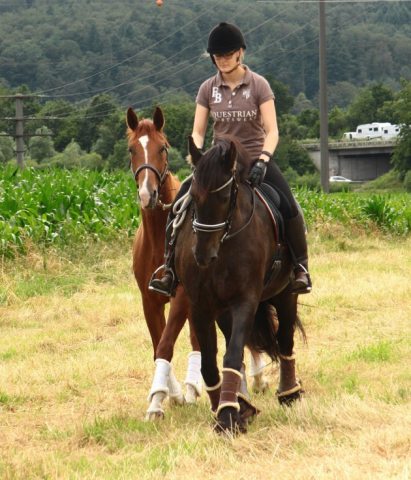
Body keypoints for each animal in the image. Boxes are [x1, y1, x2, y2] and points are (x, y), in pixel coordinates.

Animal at [174, 136, 306, 436]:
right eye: (193, 197)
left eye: (224, 198)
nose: (202, 255)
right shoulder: (201, 307)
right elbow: (211, 365)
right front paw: (226, 409)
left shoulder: (246, 301)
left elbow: (232, 356)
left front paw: (227, 417)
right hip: (223, 310)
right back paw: (243, 402)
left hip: (286, 294)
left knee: (285, 339)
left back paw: (288, 392)